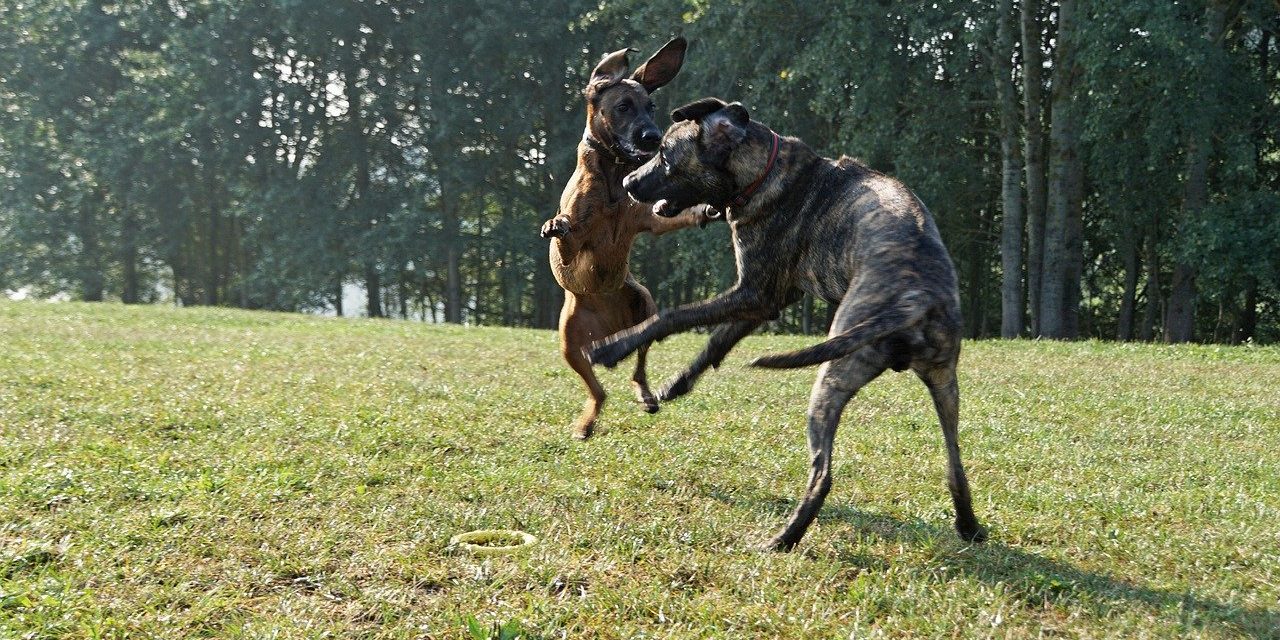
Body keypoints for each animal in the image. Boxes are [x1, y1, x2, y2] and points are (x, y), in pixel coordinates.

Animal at [537, 38, 711, 440]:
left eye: (650, 106)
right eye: (623, 107)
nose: (653, 137)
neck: (614, 177)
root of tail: (609, 331)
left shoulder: (646, 218)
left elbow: (669, 214)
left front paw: (704, 209)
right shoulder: (575, 245)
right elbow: (567, 237)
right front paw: (556, 224)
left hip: (643, 305)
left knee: (638, 367)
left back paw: (646, 396)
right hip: (569, 341)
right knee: (597, 392)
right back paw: (585, 424)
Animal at [588, 98, 988, 550]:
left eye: (666, 157)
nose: (629, 183)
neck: (763, 171)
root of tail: (915, 296)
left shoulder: (753, 292)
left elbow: (671, 316)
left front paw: (613, 347)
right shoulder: (767, 300)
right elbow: (716, 341)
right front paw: (676, 385)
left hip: (833, 377)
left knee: (823, 473)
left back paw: (783, 539)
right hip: (944, 383)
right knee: (956, 465)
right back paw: (968, 526)